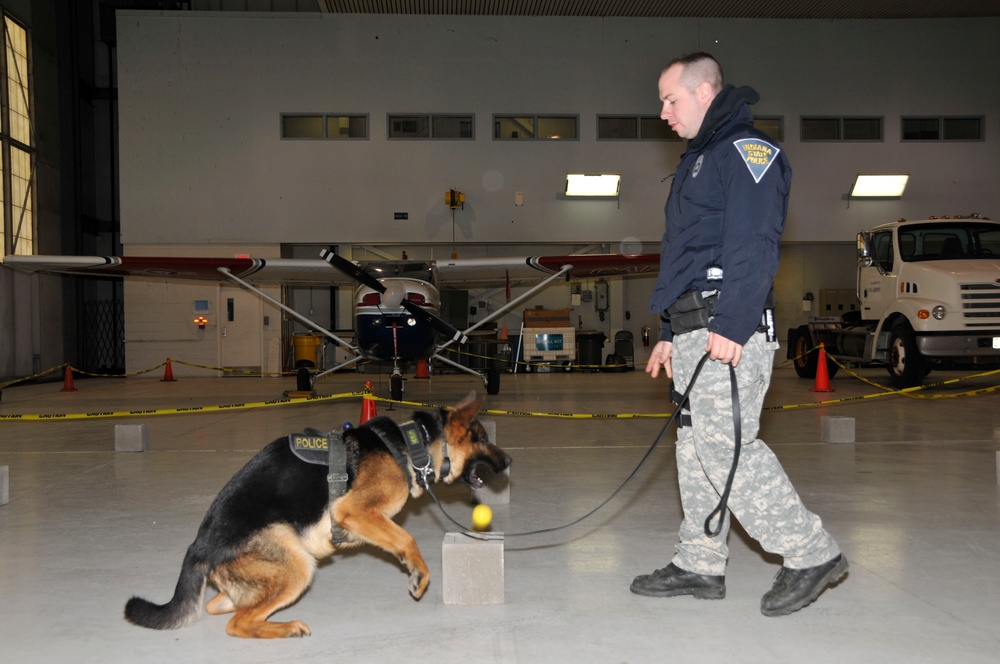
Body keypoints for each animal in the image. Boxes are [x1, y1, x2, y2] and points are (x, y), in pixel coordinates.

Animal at [126, 394, 512, 640]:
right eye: (483, 439)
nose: (509, 462)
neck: (412, 446)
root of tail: (198, 547)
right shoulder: (353, 510)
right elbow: (406, 537)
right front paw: (418, 572)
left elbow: (395, 536)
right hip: (296, 564)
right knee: (237, 622)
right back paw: (285, 628)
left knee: (219, 605)